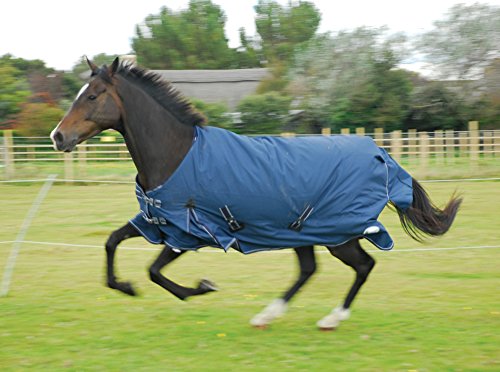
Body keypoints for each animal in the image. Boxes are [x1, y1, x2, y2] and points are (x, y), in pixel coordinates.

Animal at [50, 56, 460, 330]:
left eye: (93, 96)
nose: (57, 136)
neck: (177, 152)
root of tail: (381, 155)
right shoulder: (155, 221)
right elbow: (111, 243)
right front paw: (125, 286)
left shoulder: (187, 231)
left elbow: (154, 271)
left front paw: (201, 287)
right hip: (302, 231)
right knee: (312, 269)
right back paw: (269, 314)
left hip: (335, 233)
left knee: (363, 266)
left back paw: (330, 318)